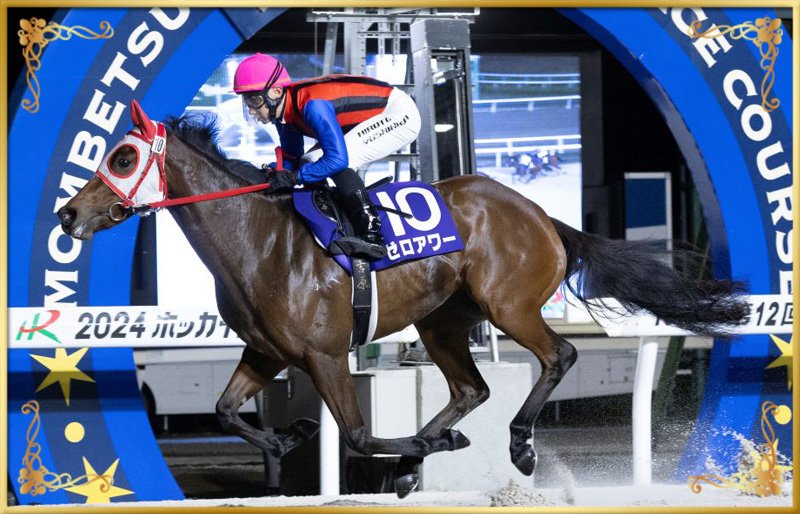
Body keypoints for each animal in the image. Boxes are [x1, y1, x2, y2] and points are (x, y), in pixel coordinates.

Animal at [58, 102, 749, 498]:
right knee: (471, 388)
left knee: (559, 358)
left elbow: (360, 437)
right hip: (444, 322)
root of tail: (542, 216)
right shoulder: (265, 350)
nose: (68, 215)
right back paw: (428, 449)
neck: (259, 241)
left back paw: (516, 445)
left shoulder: (325, 355)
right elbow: (227, 413)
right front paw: (292, 438)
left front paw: (416, 452)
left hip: (509, 306)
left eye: (124, 156)